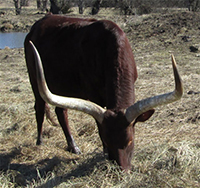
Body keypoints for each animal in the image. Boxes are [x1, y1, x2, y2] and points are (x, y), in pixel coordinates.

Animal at [23, 15, 183, 170]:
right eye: (106, 140)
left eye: (130, 140)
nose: (121, 169)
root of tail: (36, 26)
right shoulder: (94, 96)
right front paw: (105, 152)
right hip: (35, 79)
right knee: (39, 108)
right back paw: (40, 142)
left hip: (61, 87)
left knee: (61, 112)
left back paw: (73, 147)